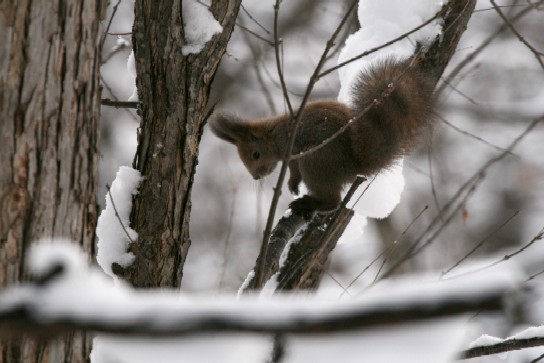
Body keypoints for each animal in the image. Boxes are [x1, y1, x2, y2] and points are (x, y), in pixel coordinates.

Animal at [208, 57, 434, 213]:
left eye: (255, 155)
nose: (256, 177)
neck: (274, 135)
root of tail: (355, 165)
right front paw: (293, 185)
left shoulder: (292, 148)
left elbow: (294, 169)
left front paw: (292, 183)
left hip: (316, 161)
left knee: (333, 202)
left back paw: (312, 204)